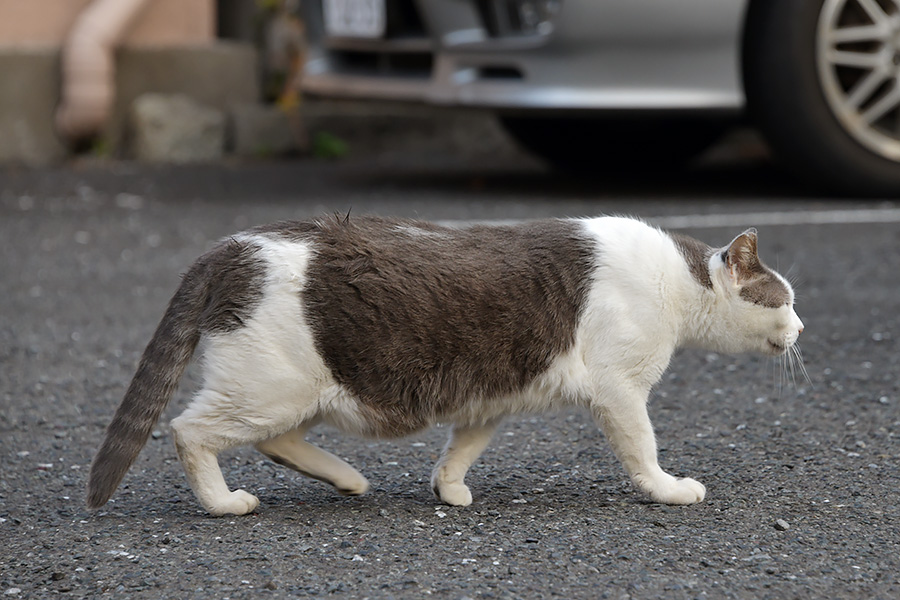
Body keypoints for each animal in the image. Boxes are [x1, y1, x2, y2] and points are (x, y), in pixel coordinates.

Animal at [86, 214, 800, 516]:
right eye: (785, 299)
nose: (801, 328)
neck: (679, 284)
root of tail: (232, 247)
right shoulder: (620, 391)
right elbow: (642, 448)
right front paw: (667, 489)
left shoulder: (491, 394)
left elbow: (462, 449)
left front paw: (450, 490)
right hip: (269, 387)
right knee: (190, 432)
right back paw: (223, 503)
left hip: (301, 391)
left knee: (274, 441)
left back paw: (348, 480)